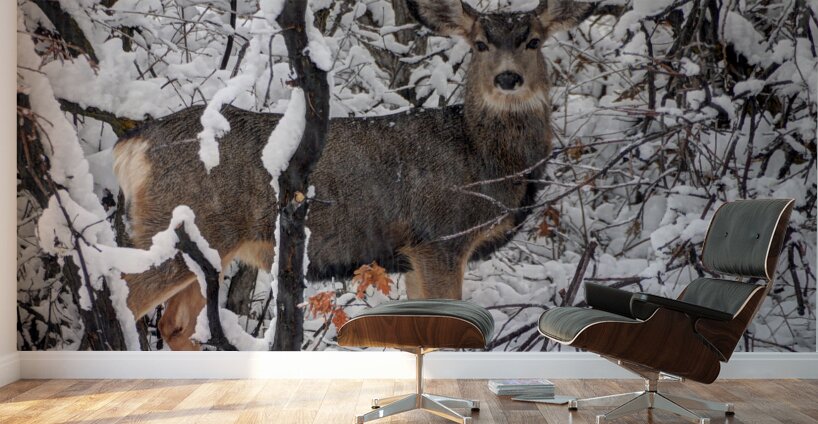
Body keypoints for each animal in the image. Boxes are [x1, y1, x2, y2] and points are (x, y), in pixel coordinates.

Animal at [113, 0, 594, 350]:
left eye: (533, 41)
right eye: (478, 44)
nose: (508, 78)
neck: (483, 159)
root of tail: (132, 146)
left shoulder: (412, 252)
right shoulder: (440, 236)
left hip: (205, 248)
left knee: (175, 325)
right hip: (175, 231)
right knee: (124, 297)